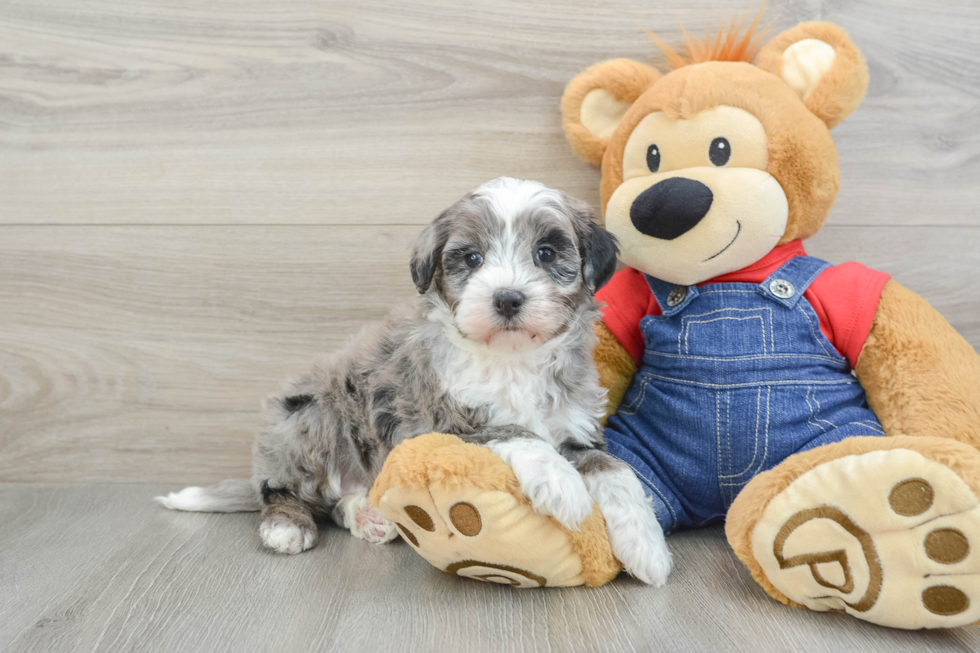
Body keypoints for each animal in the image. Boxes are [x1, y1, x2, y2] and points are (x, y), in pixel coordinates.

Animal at [157, 177, 668, 584]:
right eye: (473, 258)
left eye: (546, 253)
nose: (507, 299)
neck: (511, 359)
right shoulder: (434, 423)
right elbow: (513, 430)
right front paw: (562, 484)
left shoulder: (577, 428)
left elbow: (615, 471)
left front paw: (646, 546)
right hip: (308, 416)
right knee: (285, 491)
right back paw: (286, 525)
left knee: (335, 502)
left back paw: (368, 516)